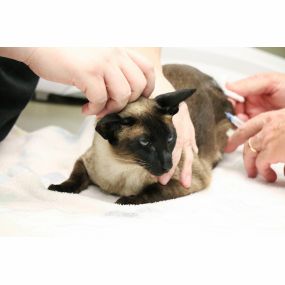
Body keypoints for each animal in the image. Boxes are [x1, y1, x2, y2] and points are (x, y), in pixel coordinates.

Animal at [47, 63, 233, 203]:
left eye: (170, 138)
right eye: (145, 142)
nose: (168, 166)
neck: (124, 166)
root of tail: (210, 78)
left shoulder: (189, 181)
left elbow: (154, 190)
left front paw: (125, 200)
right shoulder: (85, 161)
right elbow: (74, 178)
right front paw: (58, 189)